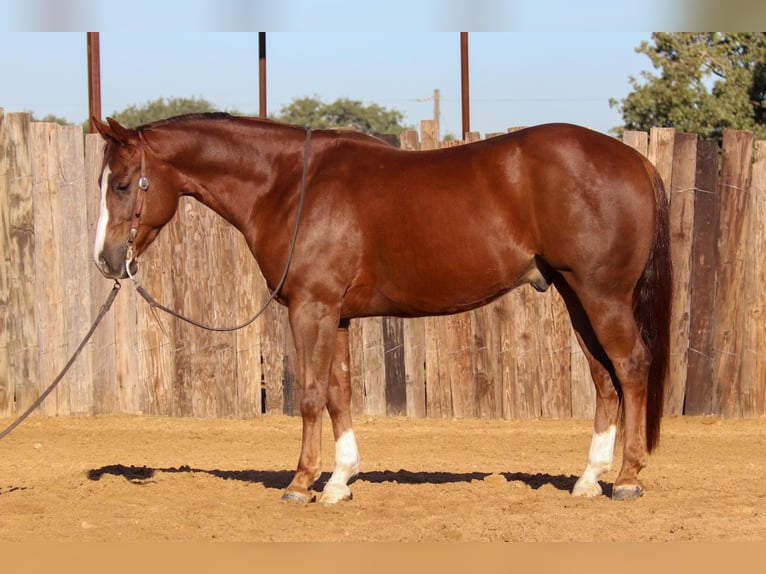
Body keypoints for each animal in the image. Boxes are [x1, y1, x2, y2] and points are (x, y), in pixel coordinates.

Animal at [91, 115, 672, 506]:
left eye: (121, 184)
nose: (106, 260)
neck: (291, 184)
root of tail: (638, 161)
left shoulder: (311, 308)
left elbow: (310, 396)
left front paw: (301, 483)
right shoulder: (337, 315)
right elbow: (339, 393)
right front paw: (339, 482)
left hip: (602, 295)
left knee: (631, 367)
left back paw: (628, 479)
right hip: (577, 297)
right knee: (604, 379)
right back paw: (588, 480)